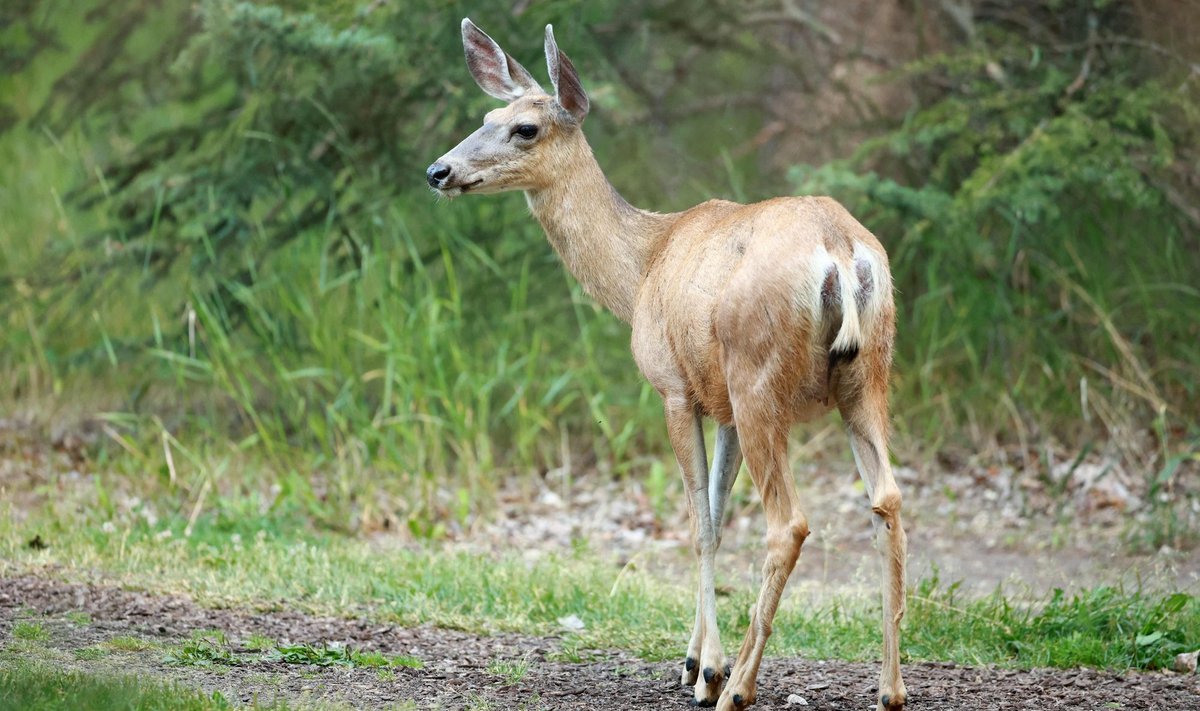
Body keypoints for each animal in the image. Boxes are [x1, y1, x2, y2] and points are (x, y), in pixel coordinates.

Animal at [427, 19, 902, 706]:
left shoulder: (675, 388)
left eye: (526, 128)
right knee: (887, 500)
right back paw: (890, 689)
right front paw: (693, 660)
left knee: (789, 523)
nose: (439, 170)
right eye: (488, 115)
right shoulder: (720, 403)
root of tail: (839, 249)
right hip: (865, 375)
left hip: (760, 374)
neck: (642, 266)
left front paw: (708, 673)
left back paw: (740, 690)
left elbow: (699, 521)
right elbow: (717, 517)